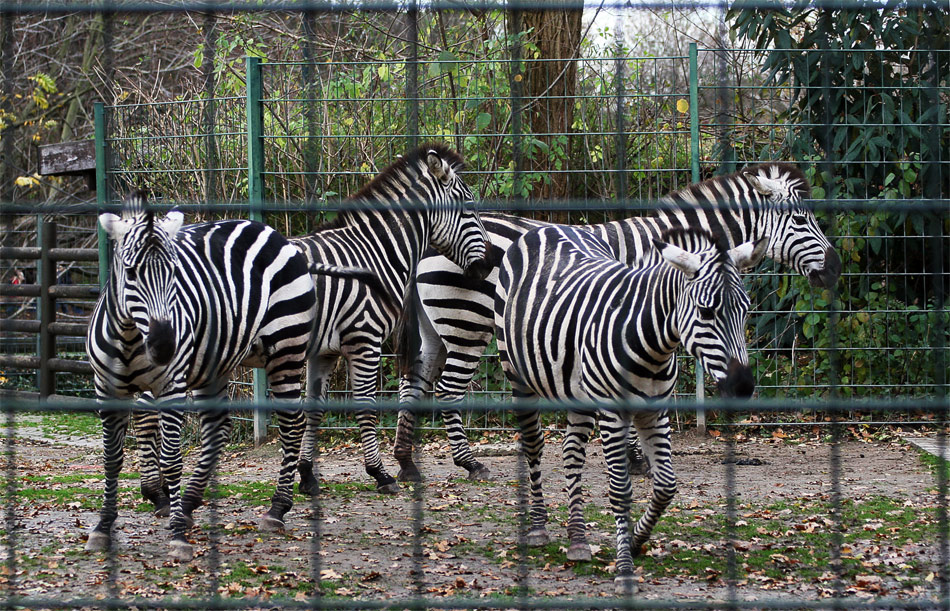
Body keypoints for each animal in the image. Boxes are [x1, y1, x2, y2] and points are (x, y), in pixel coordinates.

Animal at [84, 194, 384, 560]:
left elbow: (171, 460)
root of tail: (277, 235)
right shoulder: (106, 389)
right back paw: (190, 504)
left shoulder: (171, 386)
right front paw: (102, 528)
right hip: (215, 363)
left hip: (287, 349)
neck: (130, 339)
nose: (165, 346)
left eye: (174, 273)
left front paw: (177, 535)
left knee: (292, 424)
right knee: (219, 426)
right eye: (130, 272)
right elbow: (111, 460)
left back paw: (276, 509)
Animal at [294, 146, 494, 500]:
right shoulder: (365, 340)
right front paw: (380, 474)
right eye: (470, 208)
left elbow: (313, 409)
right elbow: (365, 406)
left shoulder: (324, 351)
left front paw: (306, 477)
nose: (489, 265)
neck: (372, 253)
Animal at [390, 161, 844, 482]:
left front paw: (633, 455)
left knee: (414, 382)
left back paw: (406, 463)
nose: (835, 269)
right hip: (465, 322)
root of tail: (425, 239)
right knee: (448, 389)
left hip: (436, 327)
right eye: (801, 220)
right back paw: (468, 463)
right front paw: (637, 457)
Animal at [494, 225, 768, 592]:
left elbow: (666, 485)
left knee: (571, 452)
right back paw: (538, 527)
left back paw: (578, 538)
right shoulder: (613, 414)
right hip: (517, 375)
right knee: (534, 444)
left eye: (746, 310)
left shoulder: (655, 412)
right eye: (706, 312)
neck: (653, 346)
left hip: (579, 392)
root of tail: (546, 227)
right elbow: (621, 491)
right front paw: (624, 568)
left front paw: (638, 541)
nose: (743, 388)